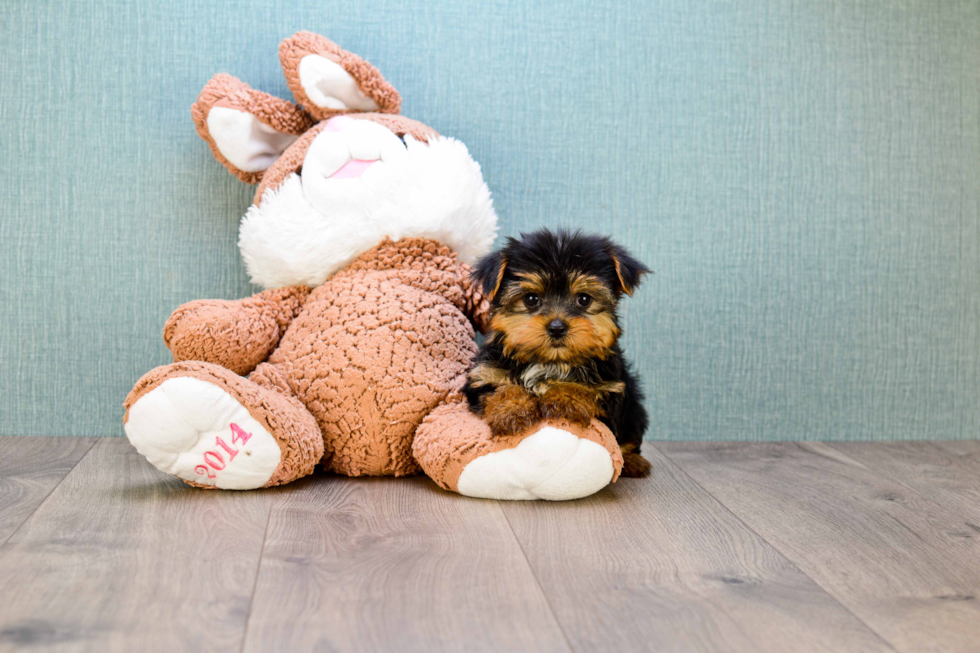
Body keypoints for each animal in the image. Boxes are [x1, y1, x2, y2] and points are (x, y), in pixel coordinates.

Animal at [466, 228, 652, 474]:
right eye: (531, 299)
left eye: (584, 299)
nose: (557, 327)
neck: (549, 362)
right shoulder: (483, 376)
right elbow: (500, 389)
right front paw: (512, 410)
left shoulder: (611, 389)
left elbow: (587, 389)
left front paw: (565, 398)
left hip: (634, 409)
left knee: (630, 435)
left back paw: (633, 461)